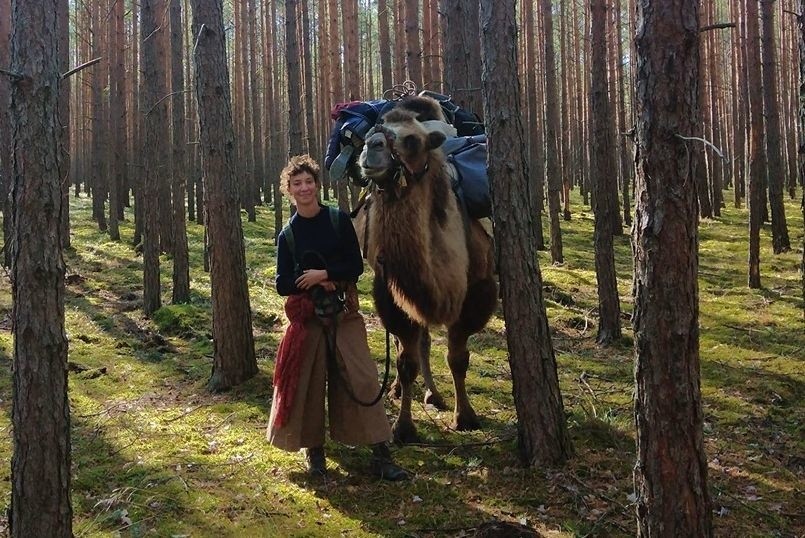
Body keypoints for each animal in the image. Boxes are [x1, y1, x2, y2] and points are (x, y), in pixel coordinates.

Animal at [356, 96, 496, 440]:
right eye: (373, 130)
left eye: (412, 140)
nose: (370, 147)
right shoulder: (391, 291)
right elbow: (406, 361)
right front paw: (404, 427)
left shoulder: (477, 292)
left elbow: (458, 358)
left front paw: (466, 416)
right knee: (412, 342)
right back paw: (400, 389)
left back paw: (435, 394)